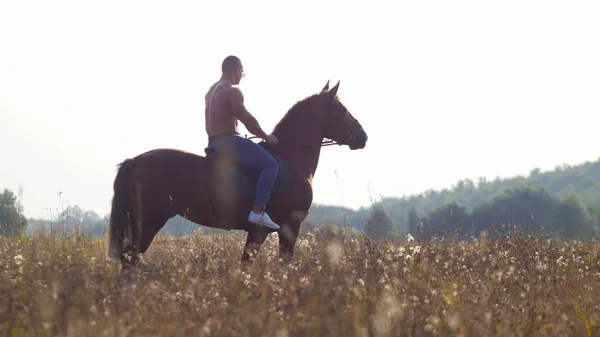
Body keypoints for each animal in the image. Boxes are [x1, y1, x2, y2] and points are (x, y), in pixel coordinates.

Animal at [108, 80, 368, 266]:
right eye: (341, 109)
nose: (363, 137)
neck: (291, 159)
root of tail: (134, 162)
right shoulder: (287, 227)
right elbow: (281, 264)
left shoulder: (257, 232)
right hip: (149, 222)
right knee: (130, 259)